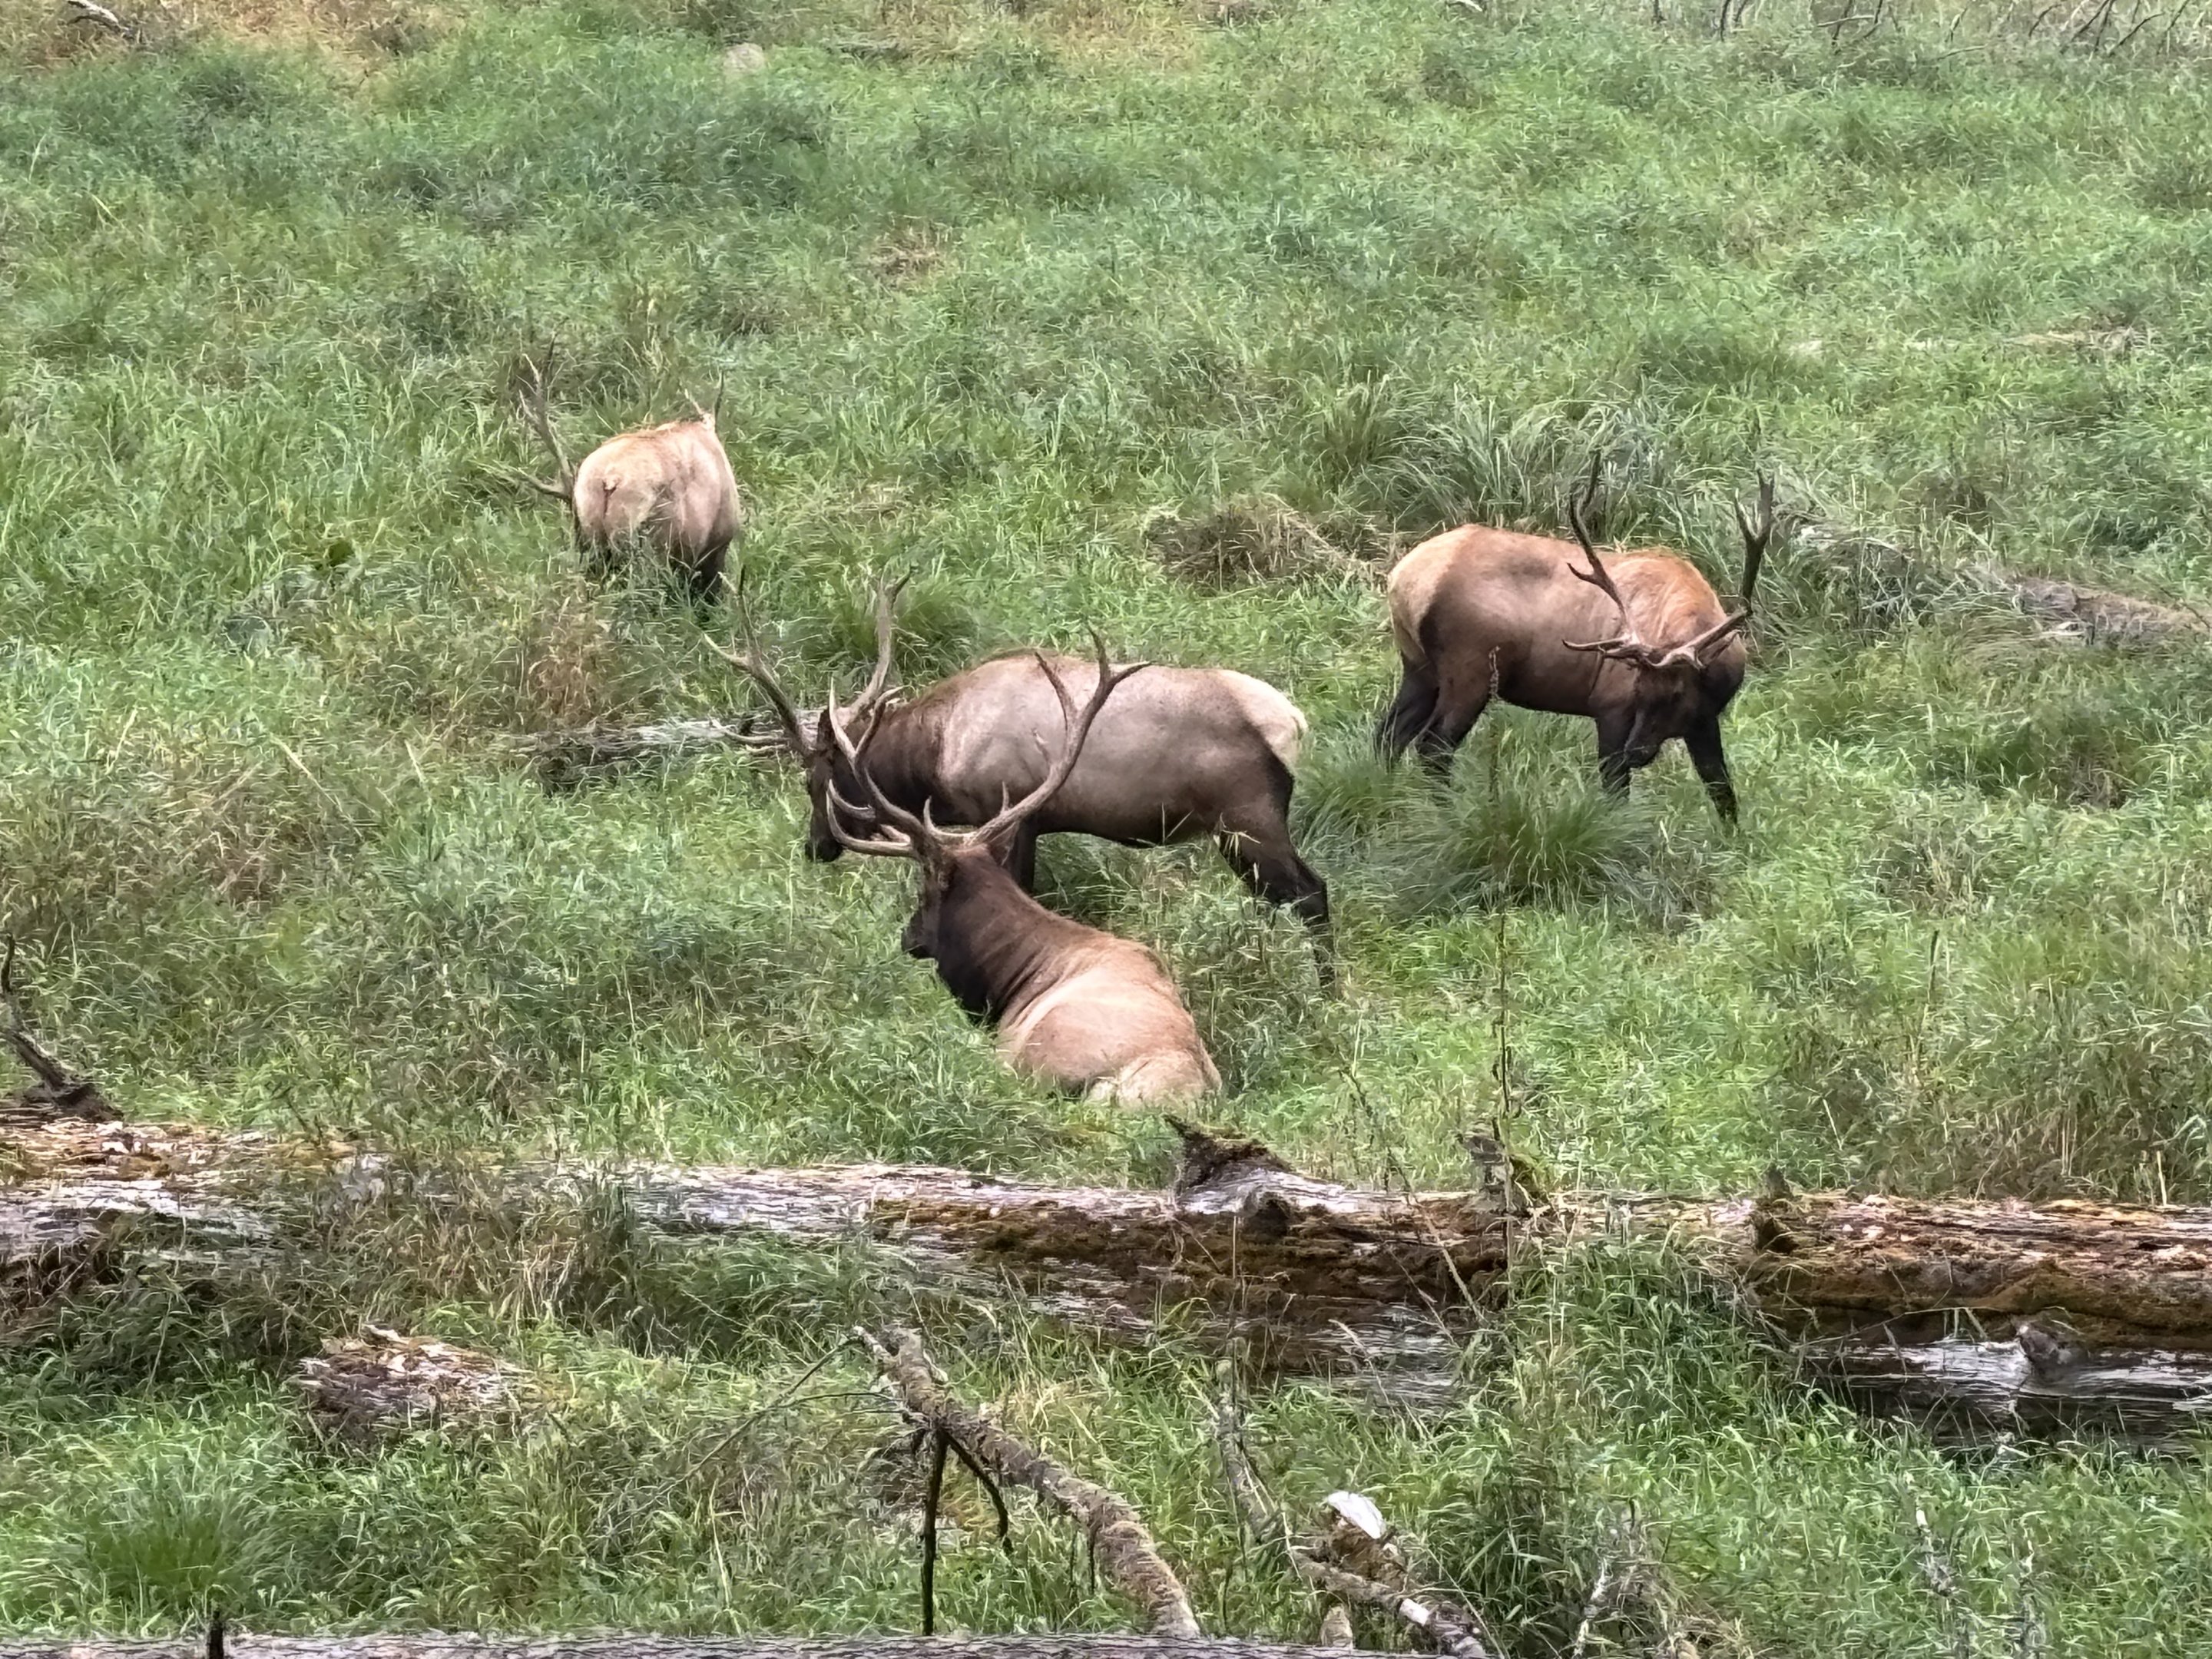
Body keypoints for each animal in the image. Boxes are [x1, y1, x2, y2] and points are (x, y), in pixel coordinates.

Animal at [712, 581, 1334, 980]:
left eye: (814, 780)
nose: (816, 846)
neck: (938, 750)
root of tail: (1294, 726)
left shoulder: (1004, 810)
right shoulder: (1028, 822)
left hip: (1247, 819)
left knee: (1312, 894)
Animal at [1377, 463, 1774, 822]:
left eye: (1676, 694)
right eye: (1639, 688)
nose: (1636, 752)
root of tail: (1404, 577)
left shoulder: (1704, 720)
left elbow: (1723, 794)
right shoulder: (1611, 705)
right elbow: (1615, 792)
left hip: (1419, 665)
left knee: (1388, 733)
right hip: (1470, 668)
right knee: (1433, 746)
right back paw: (1448, 816)